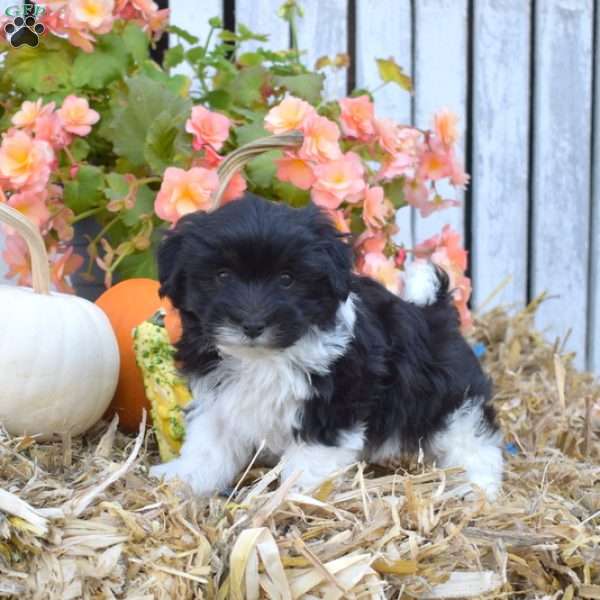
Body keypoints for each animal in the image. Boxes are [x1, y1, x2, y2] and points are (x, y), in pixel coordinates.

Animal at [150, 195, 502, 500]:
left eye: (287, 279)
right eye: (222, 275)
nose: (252, 324)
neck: (264, 358)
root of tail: (434, 310)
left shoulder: (332, 404)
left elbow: (310, 457)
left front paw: (295, 496)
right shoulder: (219, 397)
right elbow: (207, 444)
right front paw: (184, 476)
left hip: (449, 399)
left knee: (472, 438)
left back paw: (477, 487)